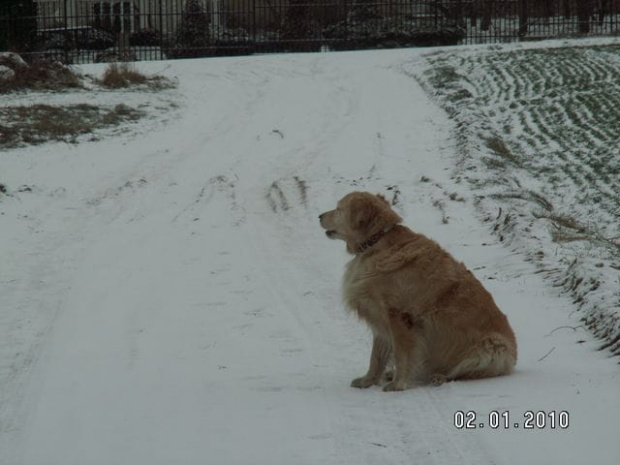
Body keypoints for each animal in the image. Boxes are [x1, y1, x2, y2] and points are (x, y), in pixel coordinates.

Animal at [320, 190, 520, 390]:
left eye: (338, 209)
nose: (319, 216)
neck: (376, 242)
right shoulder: (378, 316)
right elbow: (376, 356)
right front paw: (368, 380)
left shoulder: (399, 316)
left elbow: (401, 354)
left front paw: (398, 384)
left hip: (492, 348)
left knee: (464, 373)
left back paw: (439, 377)